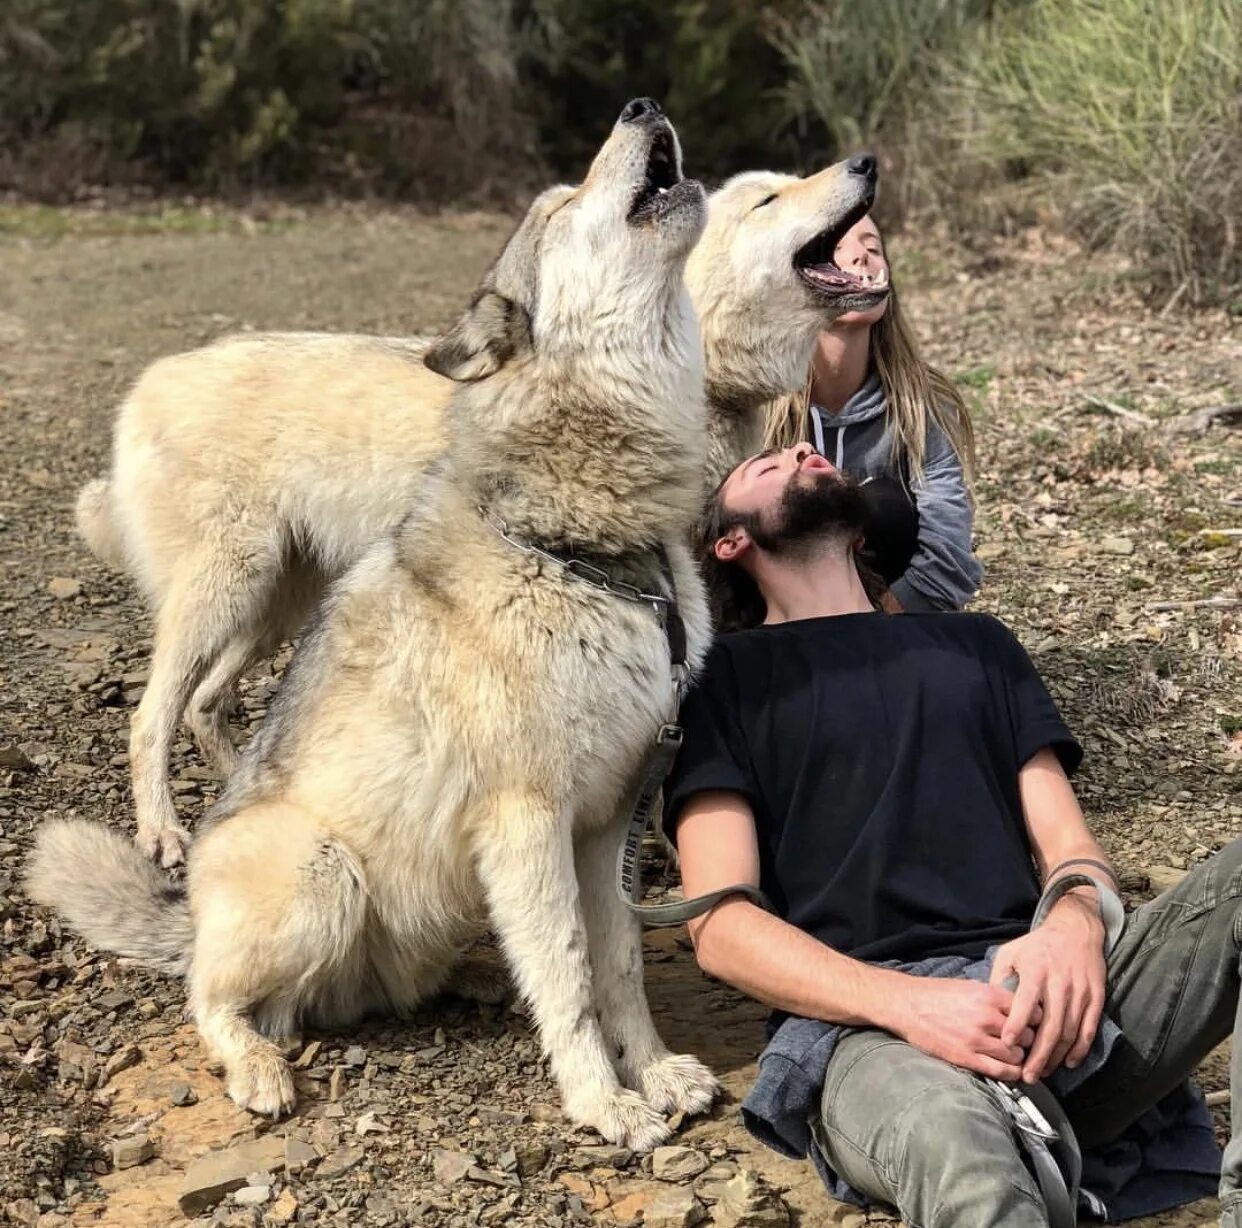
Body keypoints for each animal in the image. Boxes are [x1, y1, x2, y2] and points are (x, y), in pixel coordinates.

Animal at [29, 98, 720, 1152]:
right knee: (209, 989)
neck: (596, 551)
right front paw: (604, 1102)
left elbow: (618, 967)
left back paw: (470, 979)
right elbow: (568, 971)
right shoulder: (530, 820)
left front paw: (656, 1072)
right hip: (315, 848)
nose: (639, 106)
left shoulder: (610, 824)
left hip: (281, 615)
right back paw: (255, 1060)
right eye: (560, 207)